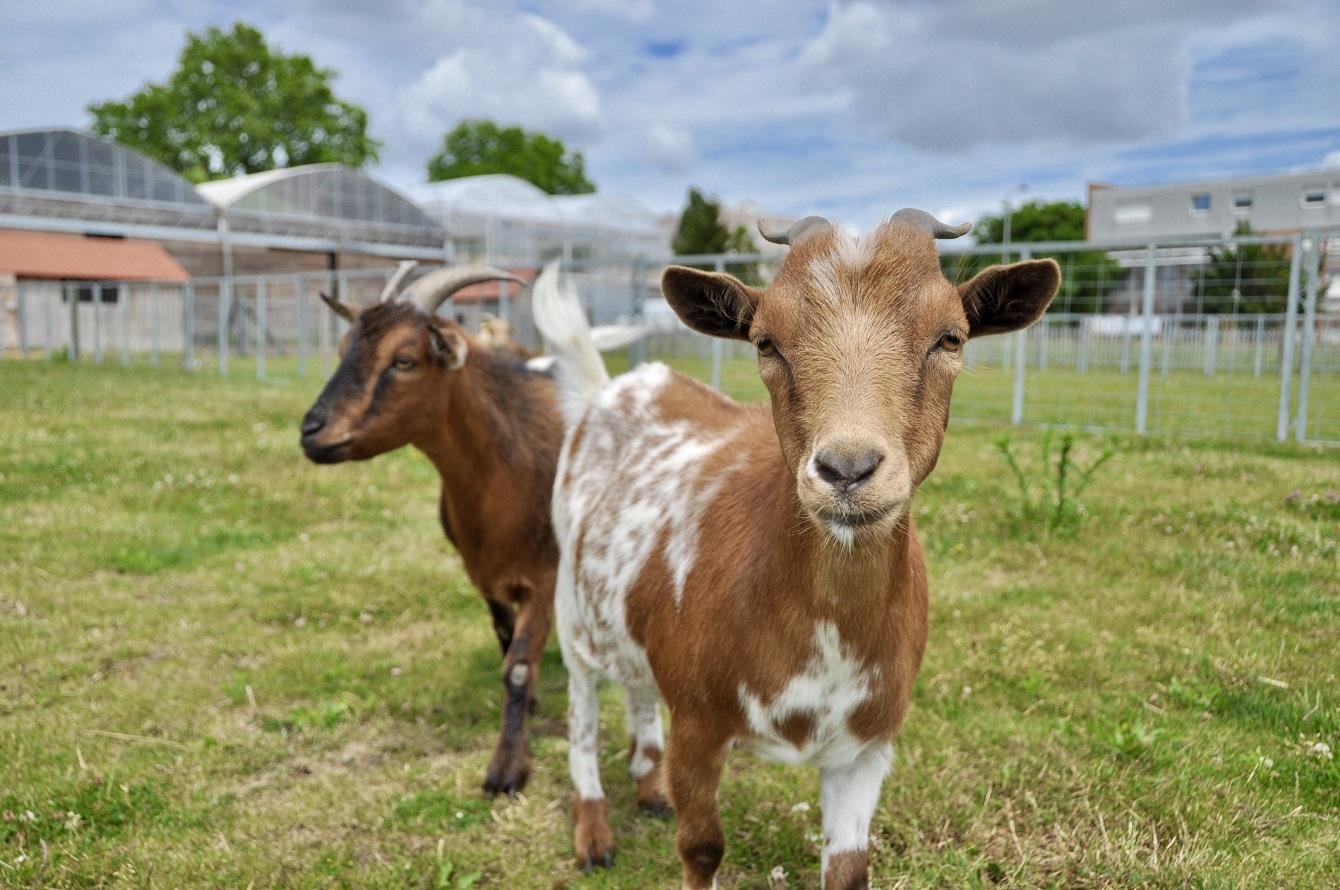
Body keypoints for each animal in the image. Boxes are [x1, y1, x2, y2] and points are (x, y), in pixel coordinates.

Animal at [297, 262, 560, 793]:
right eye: (342, 350)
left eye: (403, 360)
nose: (311, 431)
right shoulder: (484, 576)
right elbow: (506, 644)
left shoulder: (543, 578)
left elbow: (518, 668)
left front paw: (507, 768)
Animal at [530, 211, 1055, 884]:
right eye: (765, 342)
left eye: (951, 338)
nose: (848, 469)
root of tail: (609, 388)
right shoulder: (697, 723)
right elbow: (701, 847)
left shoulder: (868, 746)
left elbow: (849, 868)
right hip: (573, 616)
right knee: (582, 719)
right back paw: (593, 832)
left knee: (637, 687)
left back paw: (648, 788)